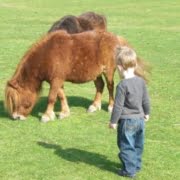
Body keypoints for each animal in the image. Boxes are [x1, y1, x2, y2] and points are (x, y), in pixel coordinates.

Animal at [4, 30, 149, 122]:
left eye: (15, 100)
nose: (16, 117)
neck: (48, 55)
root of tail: (115, 38)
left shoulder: (56, 80)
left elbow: (52, 97)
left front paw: (47, 115)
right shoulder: (57, 80)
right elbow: (61, 96)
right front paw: (64, 112)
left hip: (108, 71)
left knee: (110, 86)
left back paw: (111, 106)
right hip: (95, 73)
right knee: (100, 85)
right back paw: (94, 106)